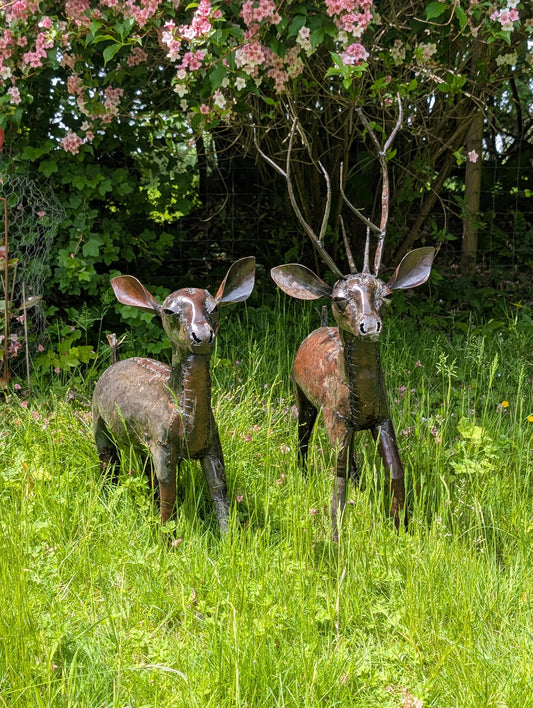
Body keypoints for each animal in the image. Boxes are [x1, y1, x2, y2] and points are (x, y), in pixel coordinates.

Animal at [92, 257, 255, 532]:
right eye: (169, 312)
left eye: (215, 308)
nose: (202, 336)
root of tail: (115, 360)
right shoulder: (163, 444)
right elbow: (169, 496)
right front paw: (167, 537)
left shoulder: (212, 445)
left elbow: (218, 490)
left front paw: (229, 537)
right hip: (97, 417)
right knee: (108, 457)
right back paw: (106, 498)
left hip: (141, 439)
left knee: (144, 466)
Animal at [261, 101, 434, 539]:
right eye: (342, 299)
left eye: (385, 295)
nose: (369, 326)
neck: (362, 404)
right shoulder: (336, 417)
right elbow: (336, 478)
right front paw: (336, 537)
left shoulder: (383, 418)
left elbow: (396, 469)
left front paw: (401, 527)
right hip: (302, 395)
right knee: (303, 436)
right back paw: (303, 471)